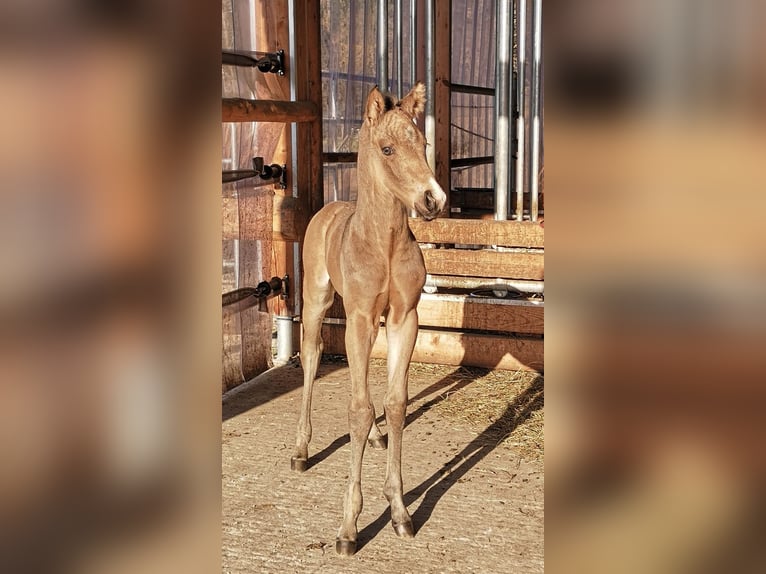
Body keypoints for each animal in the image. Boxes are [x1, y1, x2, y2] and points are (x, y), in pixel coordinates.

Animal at [290, 82, 446, 556]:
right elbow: (357, 410)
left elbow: (395, 404)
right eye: (388, 148)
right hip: (317, 300)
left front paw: (399, 511)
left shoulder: (403, 318)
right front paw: (349, 528)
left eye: (424, 144)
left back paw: (375, 438)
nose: (433, 200)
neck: (385, 244)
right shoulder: (359, 316)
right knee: (312, 356)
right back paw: (301, 450)